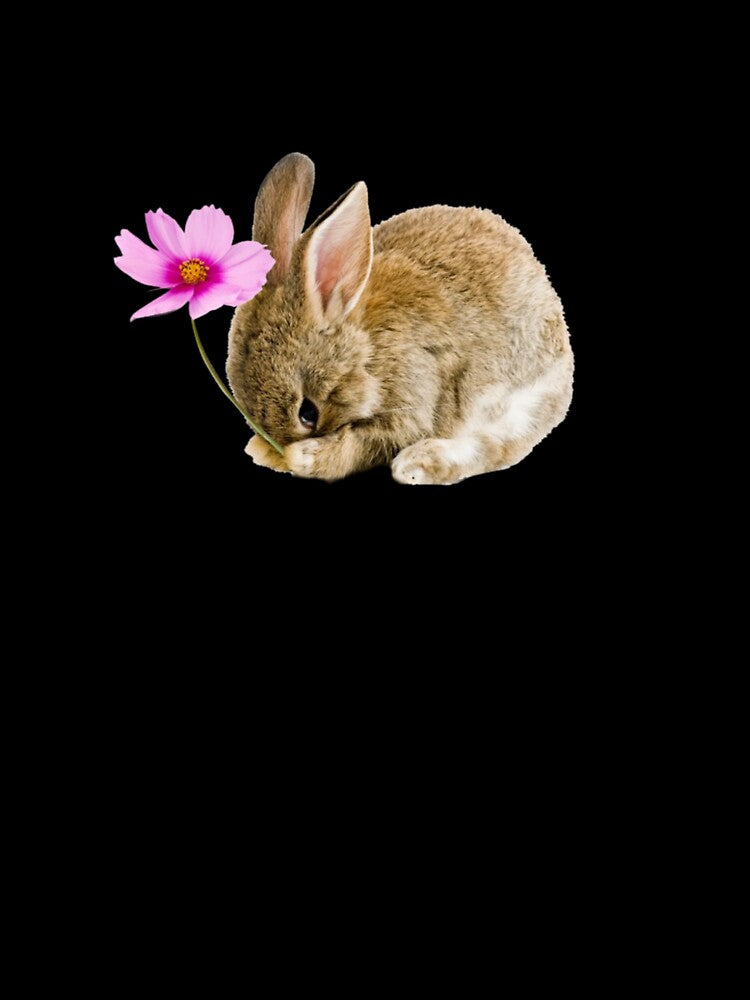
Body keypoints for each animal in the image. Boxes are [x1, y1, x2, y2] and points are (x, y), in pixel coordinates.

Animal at [227, 152, 573, 485]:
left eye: (307, 413)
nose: (278, 448)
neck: (367, 349)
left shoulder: (414, 389)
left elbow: (369, 443)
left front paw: (306, 457)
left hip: (521, 400)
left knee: (496, 445)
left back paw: (419, 464)